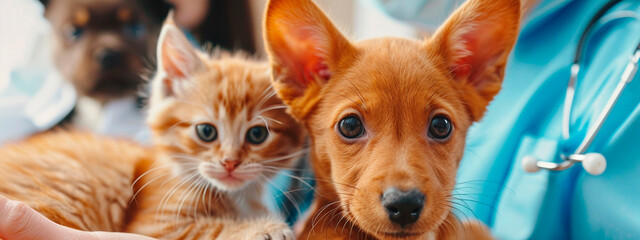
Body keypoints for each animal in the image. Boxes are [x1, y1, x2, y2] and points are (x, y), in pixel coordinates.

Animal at [0, 17, 304, 240]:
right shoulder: (156, 224)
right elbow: (209, 228)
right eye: (206, 132)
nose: (230, 163)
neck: (241, 196)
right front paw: (264, 228)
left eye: (257, 134)